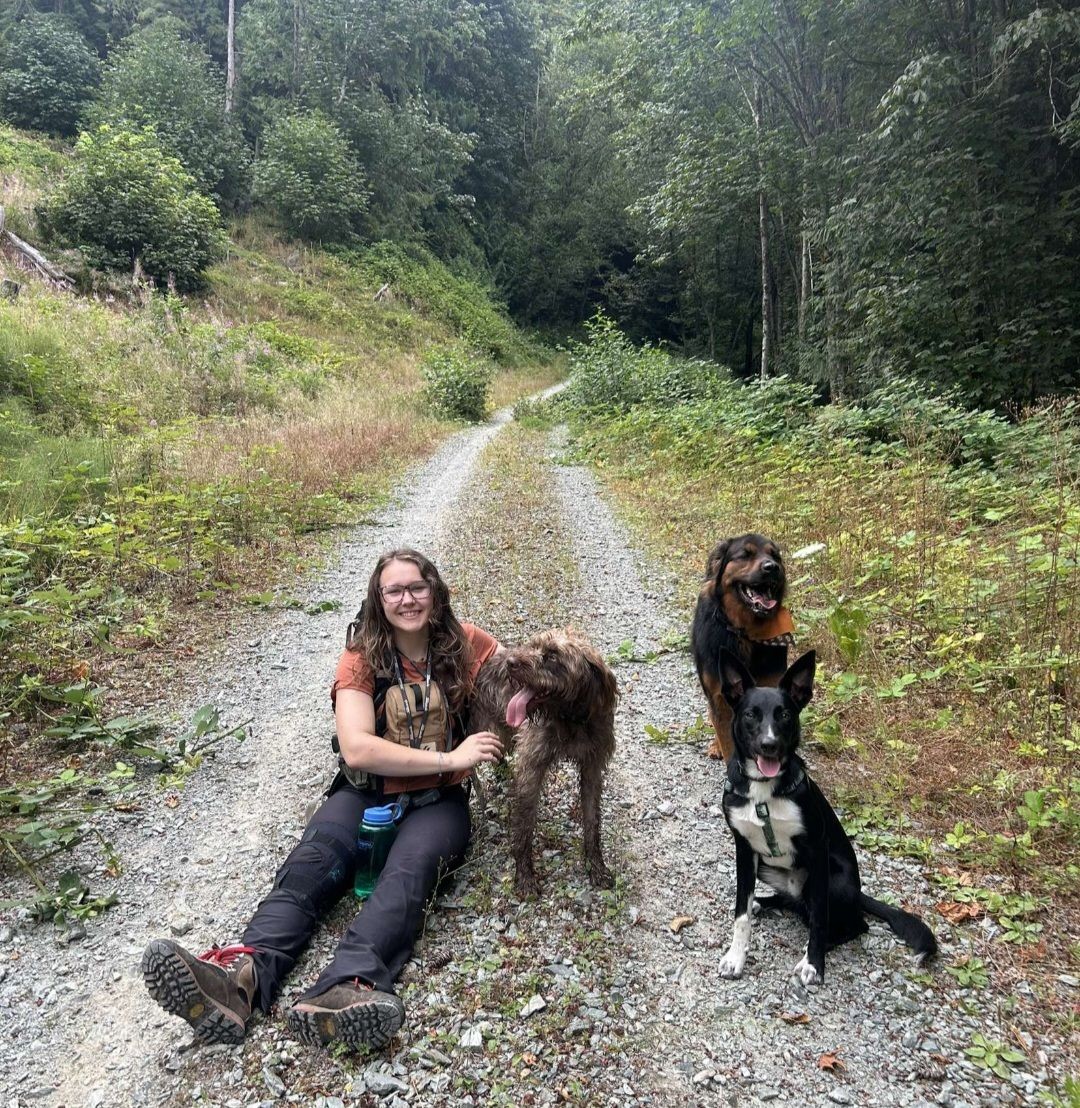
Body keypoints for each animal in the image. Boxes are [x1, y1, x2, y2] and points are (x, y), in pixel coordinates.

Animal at [472, 628, 617, 897]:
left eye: (552, 657)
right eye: (533, 646)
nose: (510, 663)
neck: (571, 719)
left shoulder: (592, 766)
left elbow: (592, 822)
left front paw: (596, 865)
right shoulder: (532, 766)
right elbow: (525, 825)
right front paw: (525, 876)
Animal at [717, 648, 937, 985]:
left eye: (785, 715)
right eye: (750, 714)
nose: (770, 745)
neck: (764, 792)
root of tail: (858, 893)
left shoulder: (817, 852)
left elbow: (820, 917)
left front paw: (814, 962)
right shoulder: (744, 850)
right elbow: (740, 914)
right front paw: (735, 957)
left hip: (833, 880)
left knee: (853, 924)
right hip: (768, 868)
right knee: (791, 902)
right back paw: (761, 903)